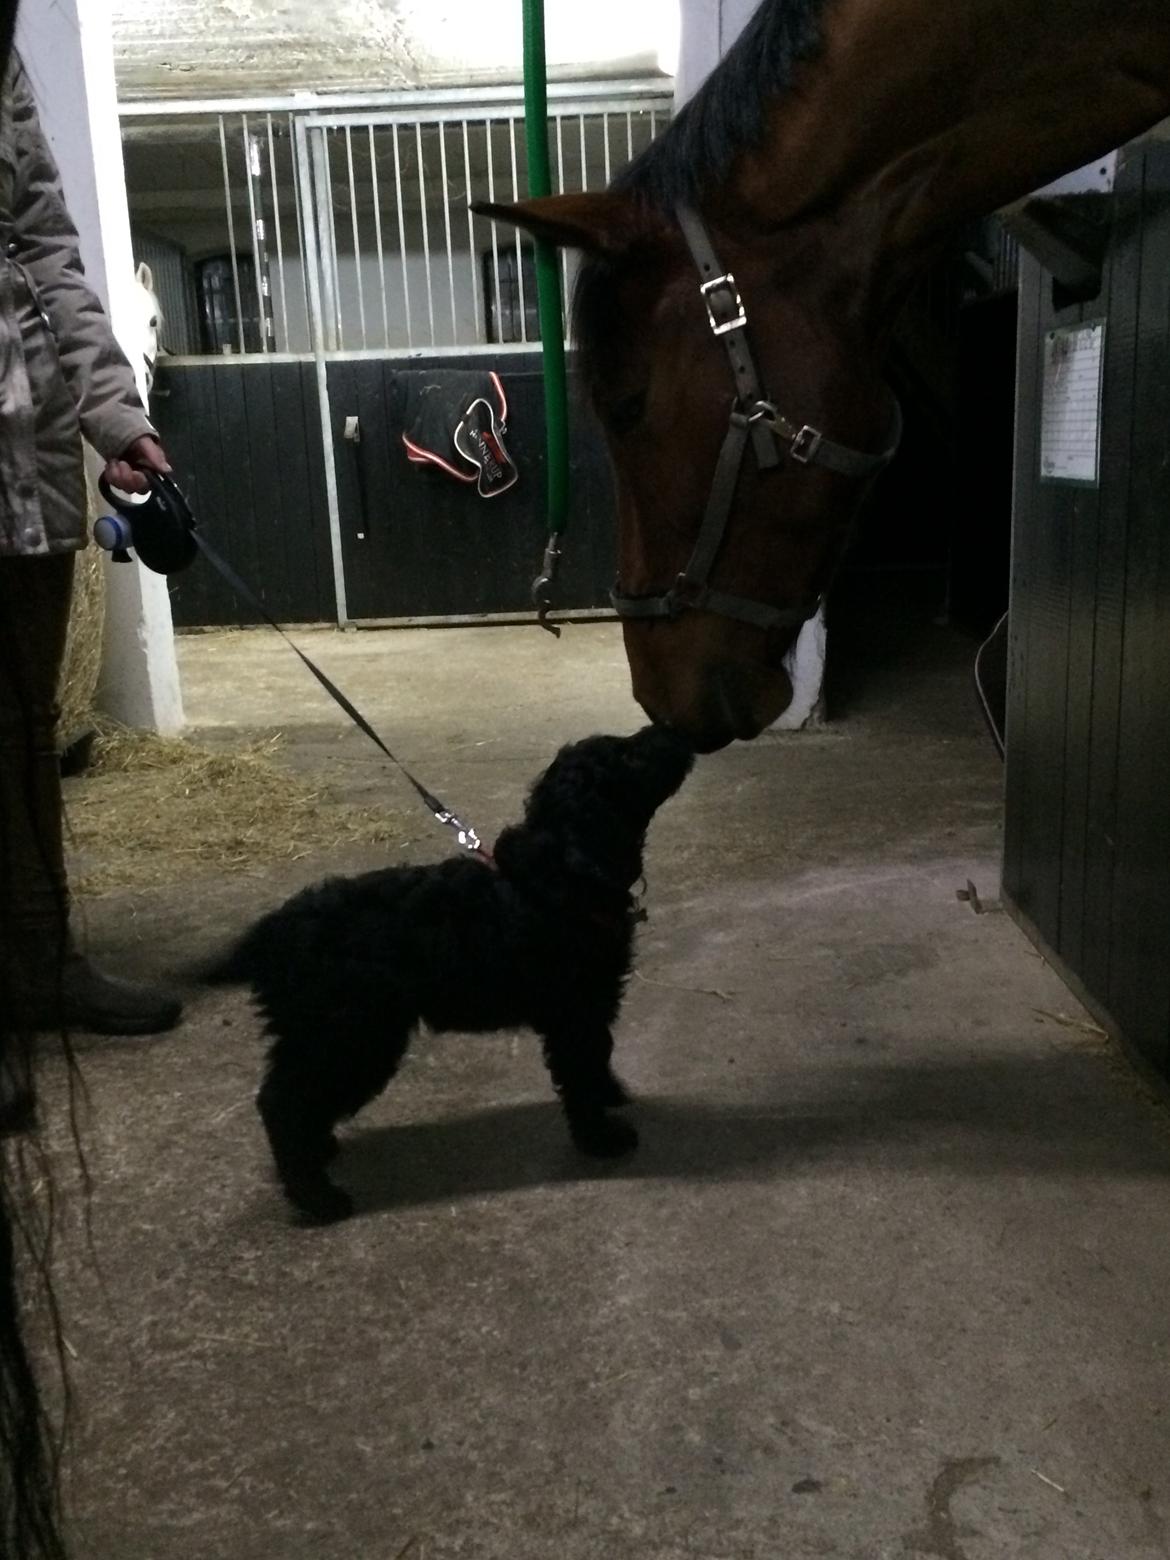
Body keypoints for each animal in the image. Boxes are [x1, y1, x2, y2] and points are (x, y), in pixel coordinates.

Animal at [204, 723, 692, 1223]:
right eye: (627, 755)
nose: (673, 729)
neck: (564, 870)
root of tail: (269, 936)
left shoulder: (594, 1002)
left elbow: (600, 1053)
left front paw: (610, 1093)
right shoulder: (573, 1011)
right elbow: (580, 1071)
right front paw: (601, 1138)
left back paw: (319, 1152)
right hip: (349, 1037)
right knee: (281, 1104)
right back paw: (319, 1199)